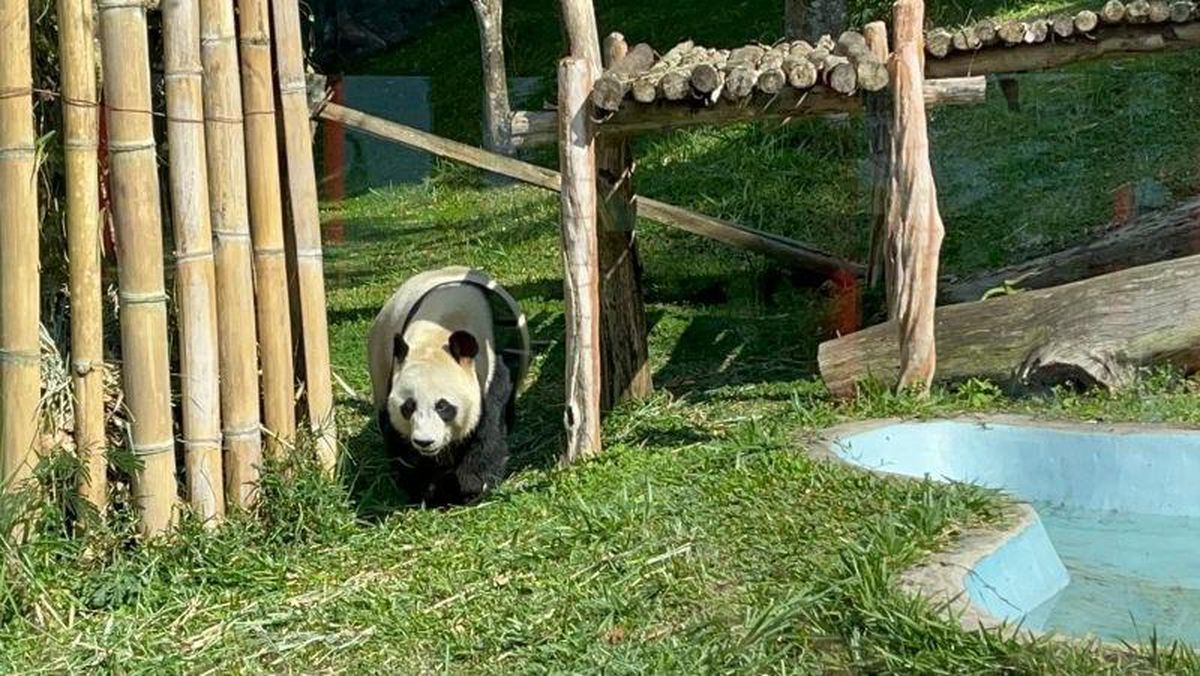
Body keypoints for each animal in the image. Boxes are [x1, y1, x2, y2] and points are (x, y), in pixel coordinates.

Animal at [367, 266, 529, 507]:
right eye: (408, 406)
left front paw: (470, 488)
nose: (424, 442)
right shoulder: (395, 374)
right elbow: (402, 445)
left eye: (443, 406)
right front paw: (426, 489)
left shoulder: (494, 368)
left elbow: (486, 432)